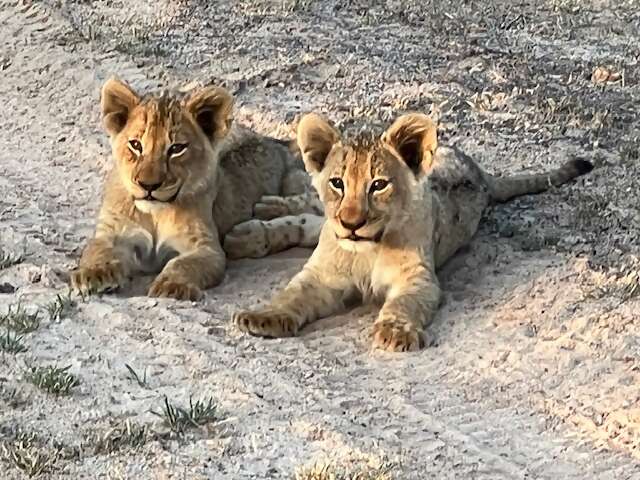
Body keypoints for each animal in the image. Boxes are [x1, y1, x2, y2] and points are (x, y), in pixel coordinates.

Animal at [70, 78, 323, 300]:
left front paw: (171, 285)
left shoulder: (206, 247)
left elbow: (183, 263)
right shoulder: (113, 233)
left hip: (294, 180)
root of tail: (276, 141)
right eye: (135, 145)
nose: (148, 186)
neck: (154, 214)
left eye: (176, 149)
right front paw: (93, 274)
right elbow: (96, 249)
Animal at [233, 112, 594, 351]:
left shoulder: (419, 279)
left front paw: (396, 333)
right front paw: (264, 316)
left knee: (310, 222)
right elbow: (292, 294)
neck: (368, 249)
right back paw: (258, 220)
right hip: (322, 218)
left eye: (378, 185)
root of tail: (480, 171)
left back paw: (249, 232)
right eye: (337, 183)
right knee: (309, 210)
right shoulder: (323, 273)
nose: (350, 223)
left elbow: (402, 305)